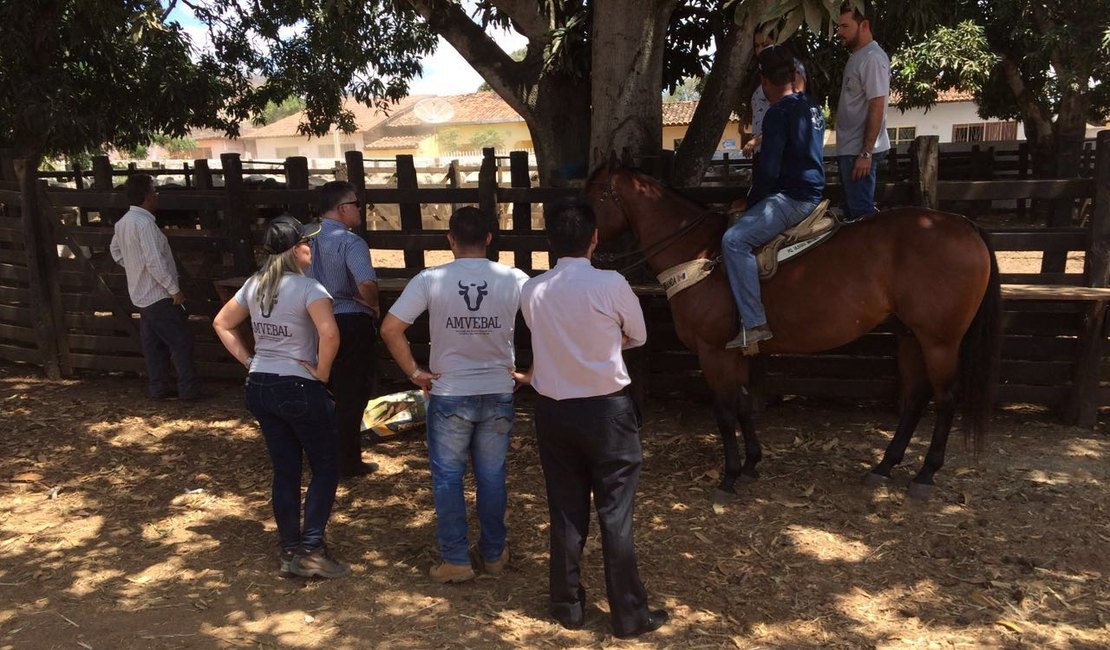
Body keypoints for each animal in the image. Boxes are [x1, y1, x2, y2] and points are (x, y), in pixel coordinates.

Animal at [586, 160, 1003, 496]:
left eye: (594, 198)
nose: (586, 246)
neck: (701, 254)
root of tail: (964, 225)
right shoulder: (734, 352)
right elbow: (742, 404)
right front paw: (751, 464)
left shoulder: (712, 352)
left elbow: (724, 411)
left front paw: (729, 477)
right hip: (909, 337)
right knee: (915, 397)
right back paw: (884, 466)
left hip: (939, 341)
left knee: (945, 399)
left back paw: (926, 474)